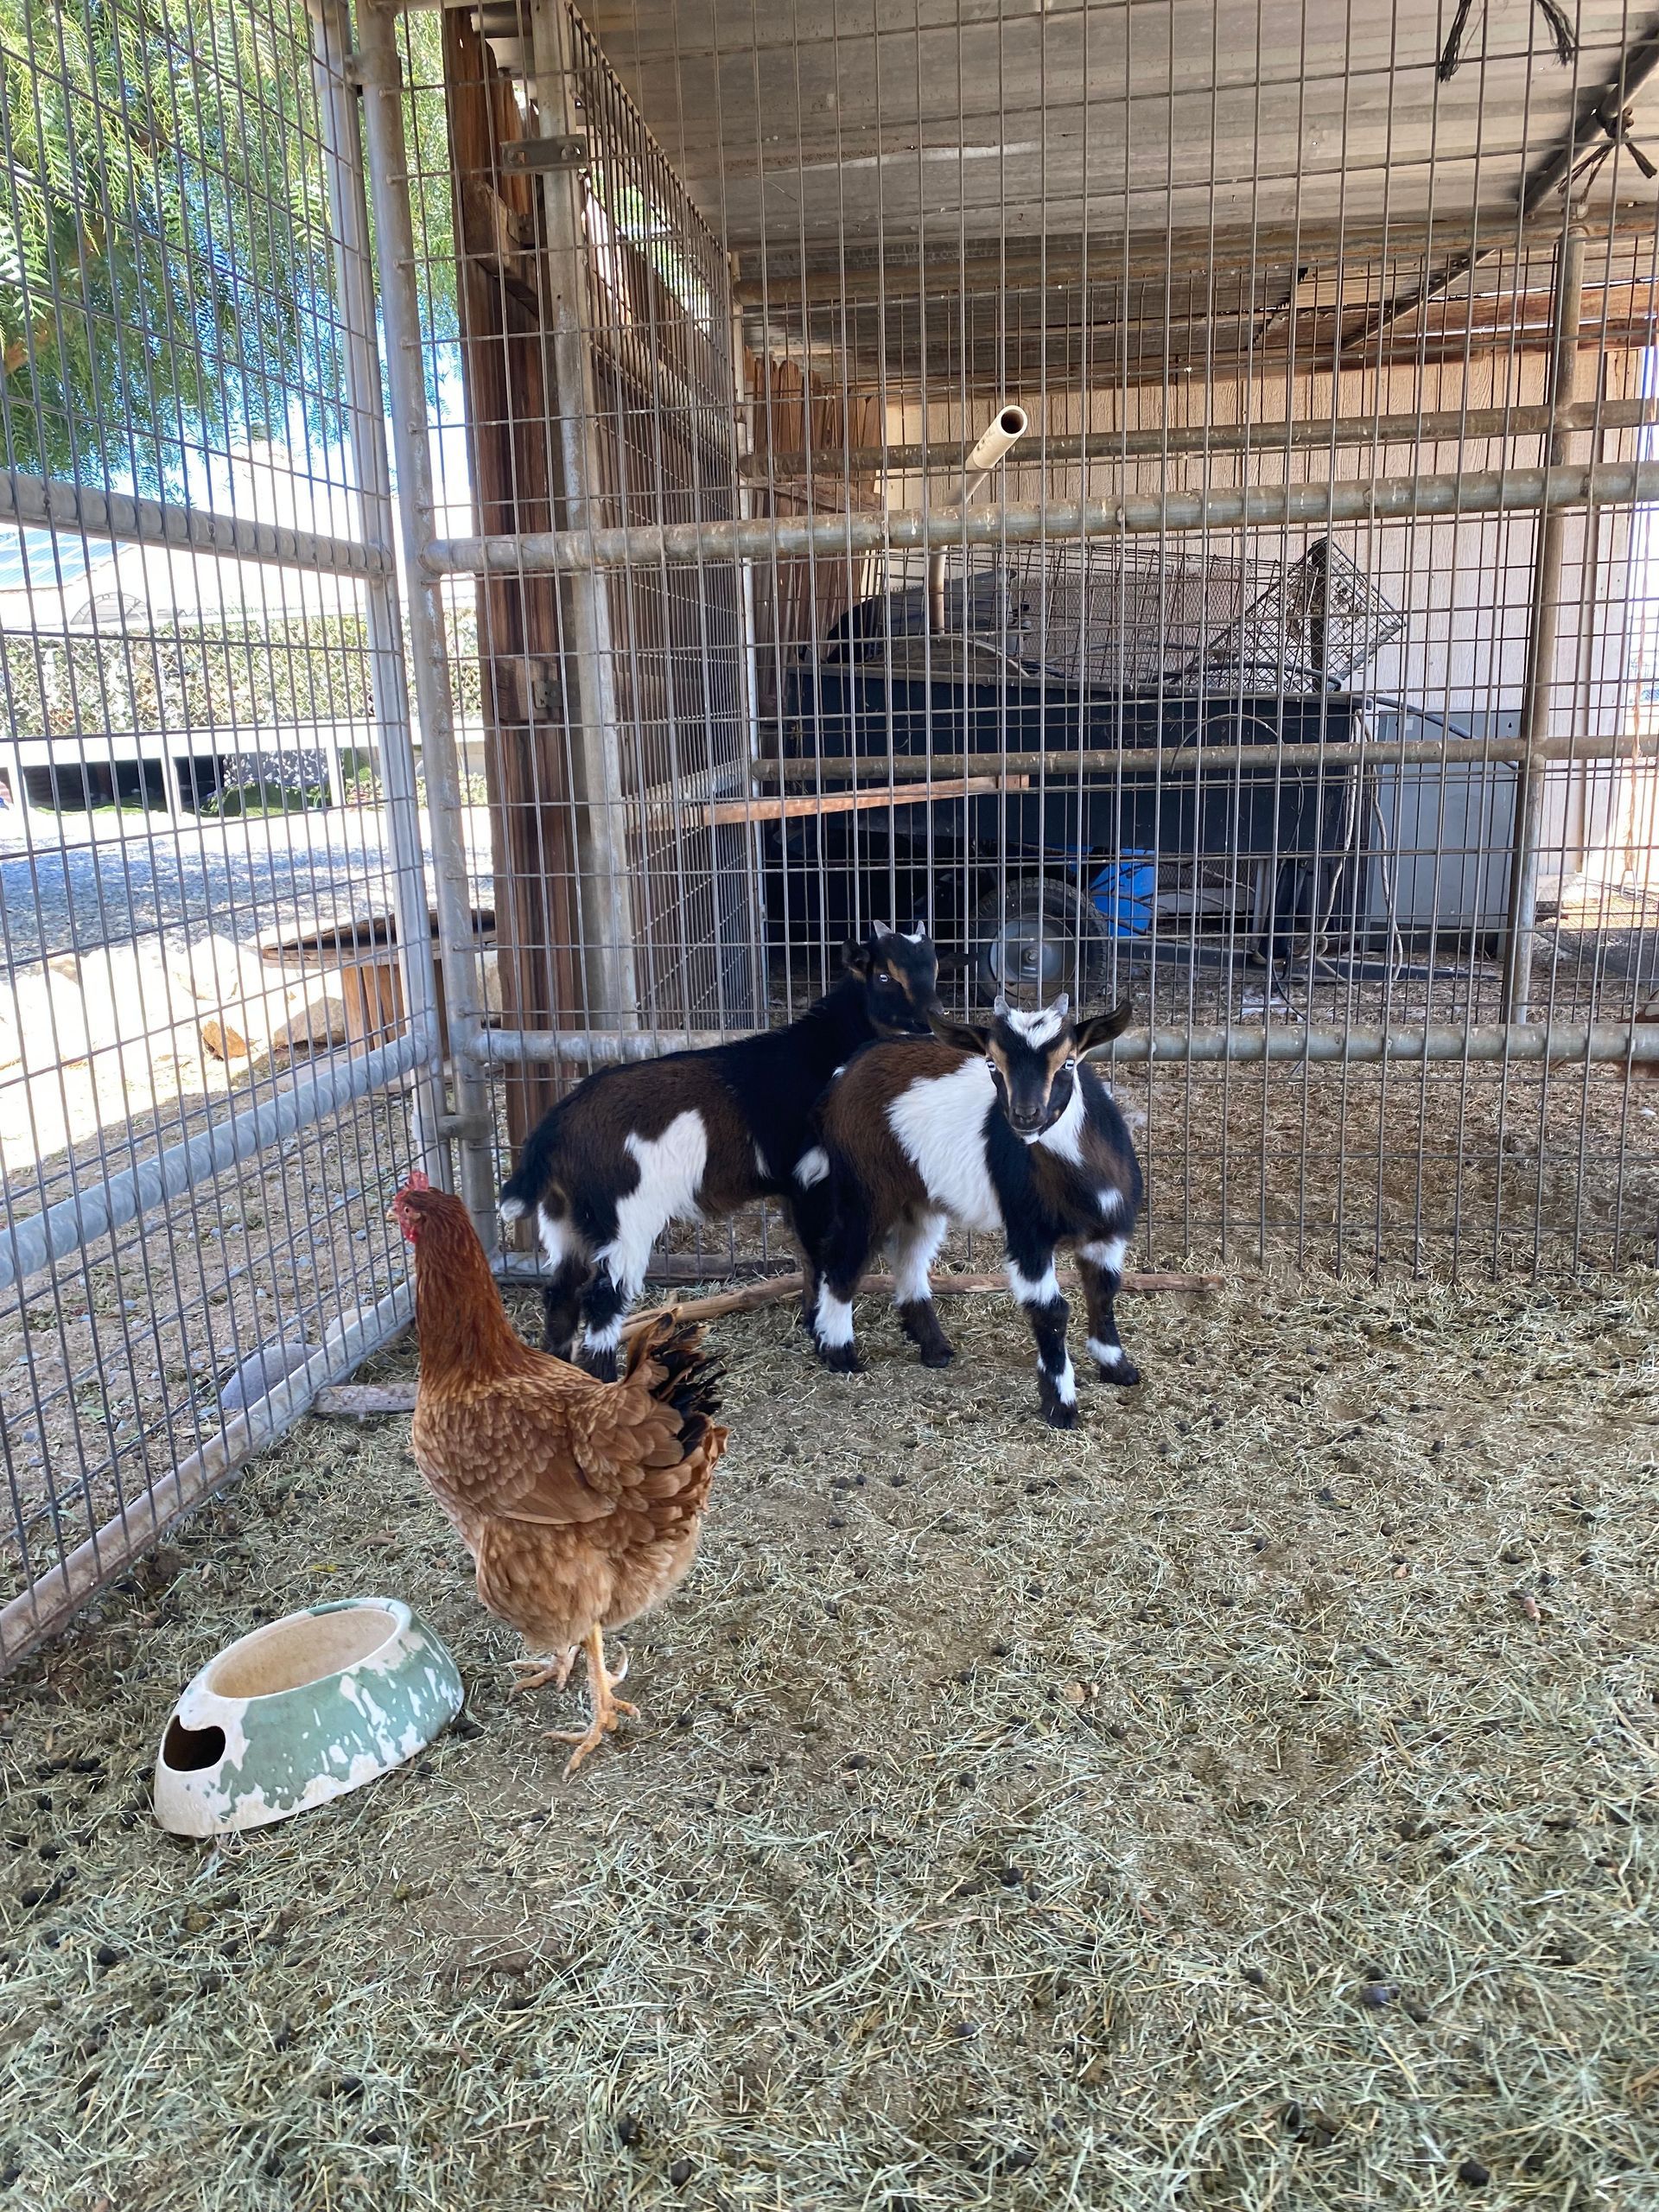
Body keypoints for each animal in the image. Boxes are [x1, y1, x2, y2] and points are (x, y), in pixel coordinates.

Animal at [499, 926, 942, 1378]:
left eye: (934, 968)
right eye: (884, 977)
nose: (930, 1020)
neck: (819, 1054)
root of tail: (555, 1127)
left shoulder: (795, 1186)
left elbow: (806, 1257)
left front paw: (811, 1325)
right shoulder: (814, 1176)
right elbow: (820, 1254)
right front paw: (826, 1340)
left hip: (564, 1216)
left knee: (561, 1291)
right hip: (623, 1217)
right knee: (603, 1295)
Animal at [807, 992, 1142, 1426]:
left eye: (1069, 1062)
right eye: (992, 1064)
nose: (1025, 1116)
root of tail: (845, 1072)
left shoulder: (1109, 1232)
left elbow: (1104, 1291)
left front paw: (1117, 1367)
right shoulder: (1027, 1234)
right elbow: (1051, 1311)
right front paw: (1061, 1405)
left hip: (920, 1196)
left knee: (910, 1256)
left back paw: (934, 1348)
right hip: (865, 1188)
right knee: (842, 1258)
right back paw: (840, 1352)